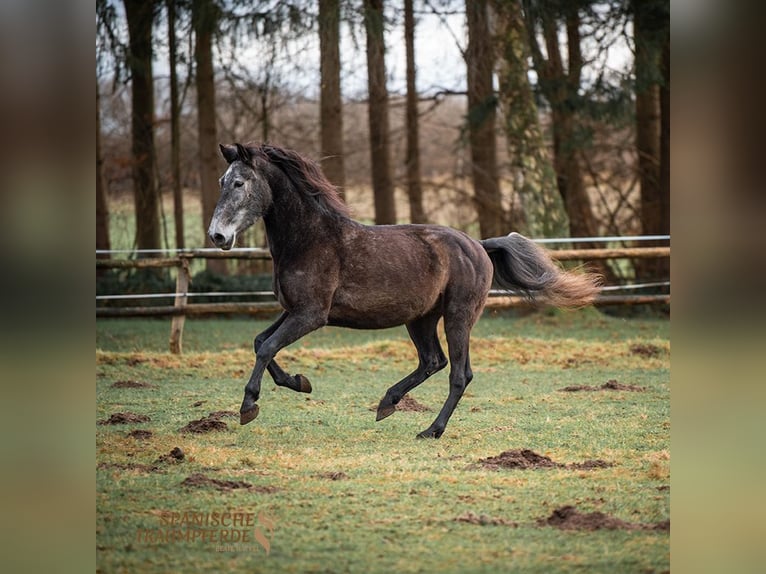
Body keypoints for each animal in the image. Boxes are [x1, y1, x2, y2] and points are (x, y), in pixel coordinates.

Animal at [210, 144, 608, 440]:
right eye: (221, 181)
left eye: (240, 183)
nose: (217, 236)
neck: (310, 240)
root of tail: (477, 245)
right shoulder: (293, 310)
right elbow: (260, 342)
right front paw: (299, 382)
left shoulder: (311, 314)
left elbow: (268, 347)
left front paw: (248, 407)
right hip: (421, 319)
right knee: (432, 361)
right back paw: (388, 403)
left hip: (458, 316)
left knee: (459, 374)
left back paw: (431, 430)